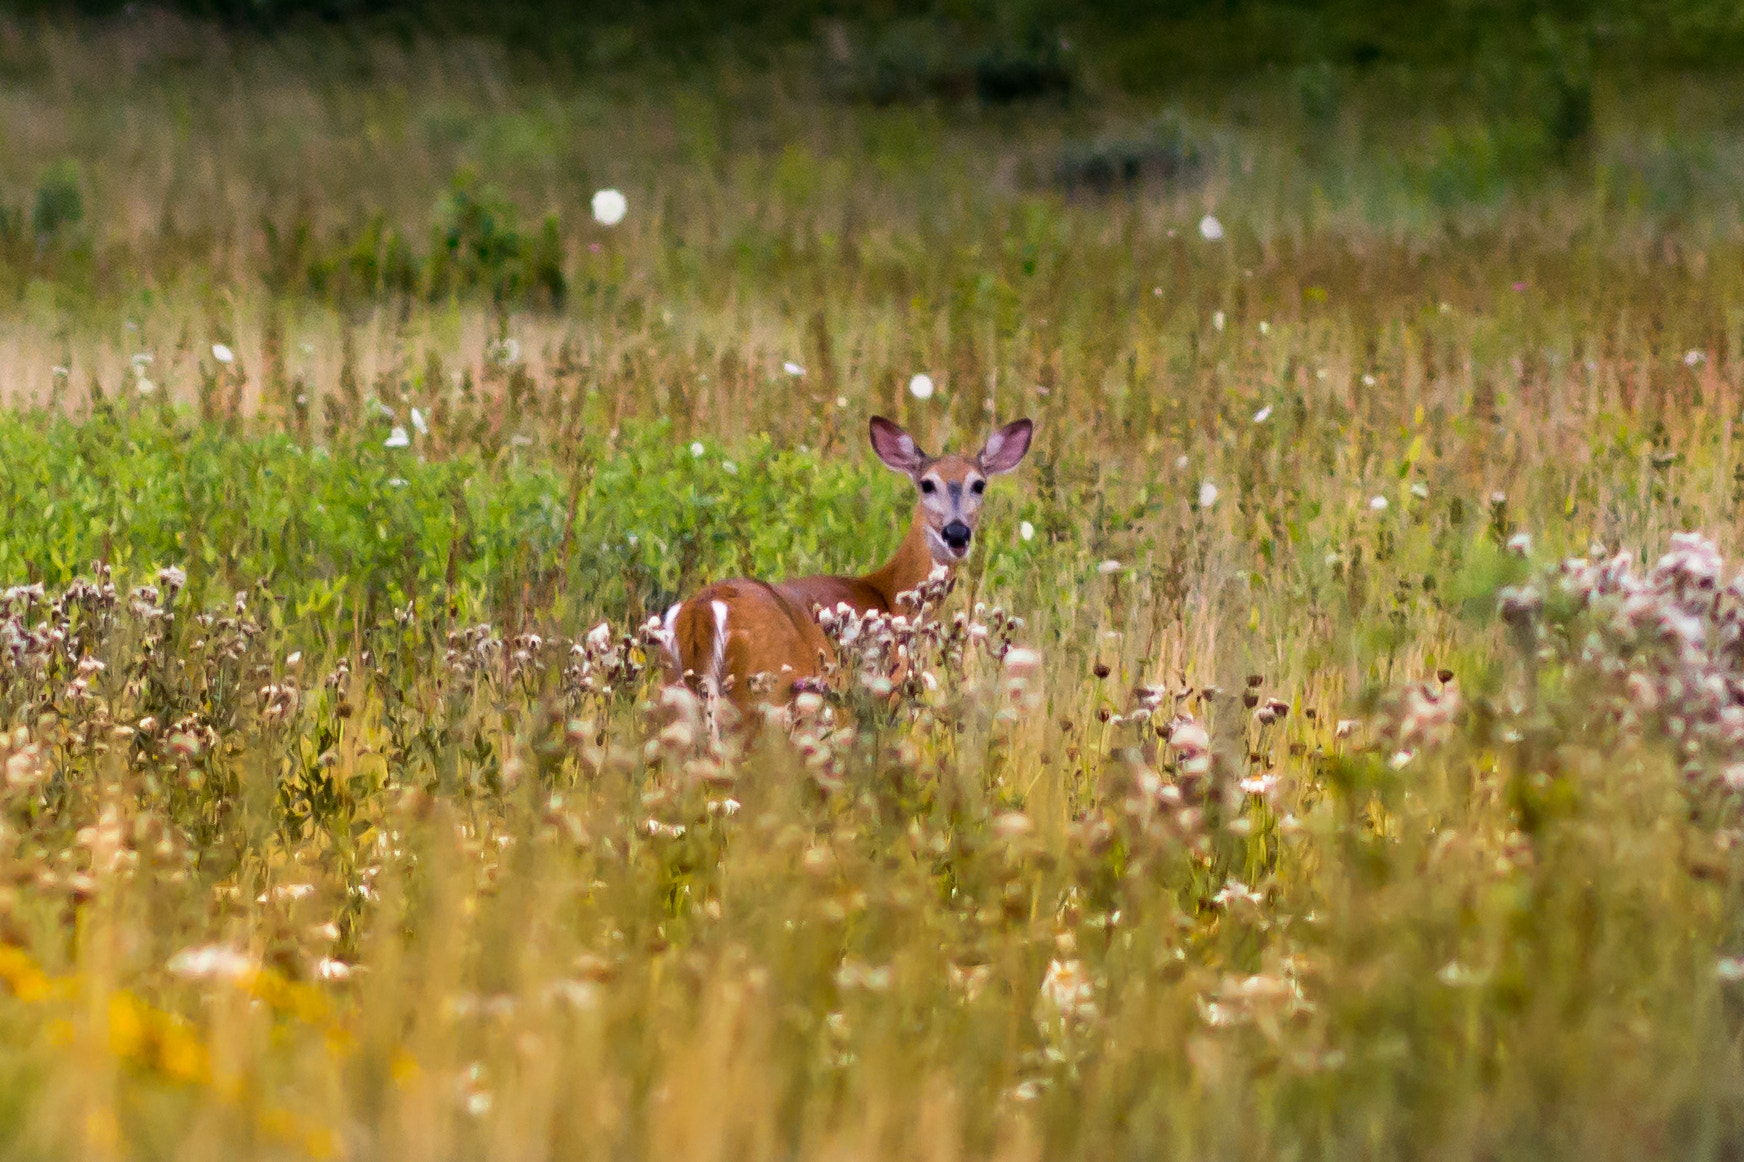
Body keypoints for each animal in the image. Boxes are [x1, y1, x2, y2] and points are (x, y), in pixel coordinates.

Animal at [662, 415, 1034, 719]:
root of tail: (702, 611)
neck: (888, 595)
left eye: (979, 484)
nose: (957, 533)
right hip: (763, 694)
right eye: (927, 483)